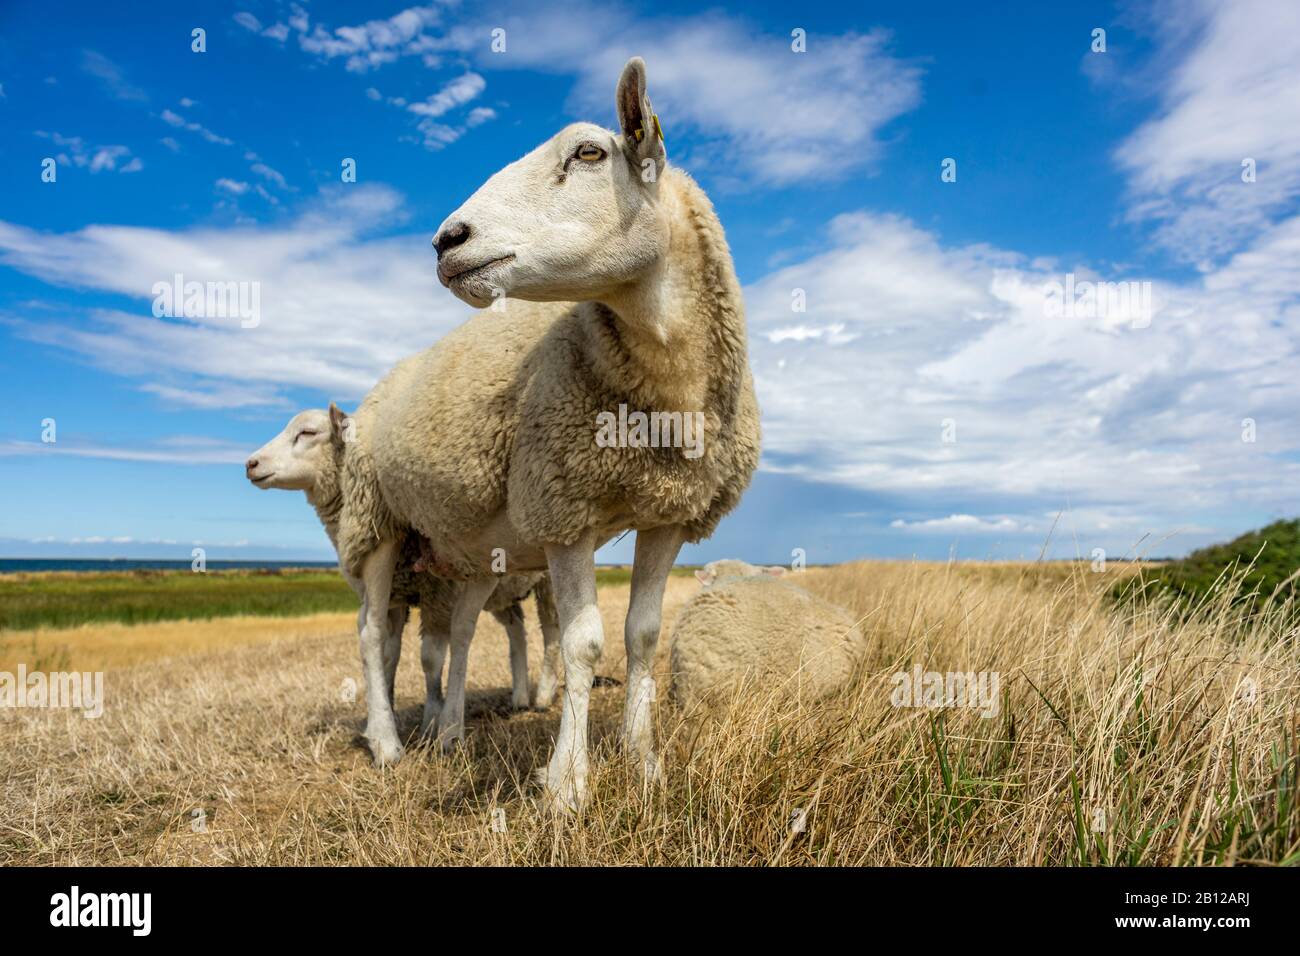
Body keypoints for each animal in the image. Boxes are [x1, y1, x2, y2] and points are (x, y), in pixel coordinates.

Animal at [245, 408, 561, 749]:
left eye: (307, 432)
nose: (251, 463)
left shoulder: (440, 594)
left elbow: (431, 658)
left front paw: (432, 720)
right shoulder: (394, 595)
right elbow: (388, 655)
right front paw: (386, 715)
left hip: (545, 582)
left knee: (552, 634)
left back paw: (544, 695)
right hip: (503, 594)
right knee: (517, 630)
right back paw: (519, 697)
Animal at [335, 57, 759, 806]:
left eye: (589, 153)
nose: (446, 241)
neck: (667, 395)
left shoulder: (670, 516)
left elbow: (644, 636)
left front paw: (644, 766)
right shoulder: (564, 507)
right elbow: (582, 646)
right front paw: (567, 786)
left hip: (470, 550)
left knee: (459, 632)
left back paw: (451, 733)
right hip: (375, 523)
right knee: (370, 635)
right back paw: (386, 743)